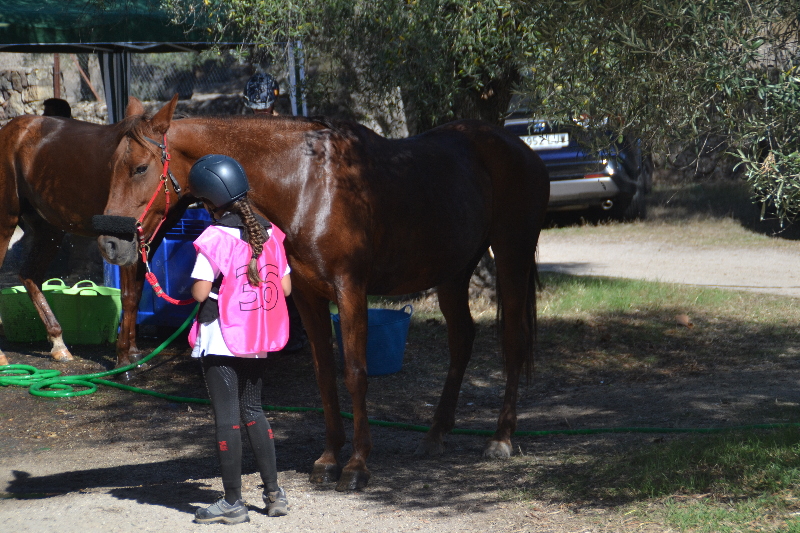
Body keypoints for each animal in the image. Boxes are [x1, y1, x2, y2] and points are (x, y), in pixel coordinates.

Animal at [0, 112, 191, 370]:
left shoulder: (146, 239)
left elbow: (136, 294)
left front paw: (134, 355)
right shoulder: (127, 241)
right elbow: (129, 296)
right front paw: (124, 361)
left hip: (48, 229)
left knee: (29, 275)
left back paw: (59, 343)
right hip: (6, 220)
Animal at [97, 96, 552, 490]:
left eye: (140, 168)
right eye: (112, 167)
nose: (110, 244)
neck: (307, 184)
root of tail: (522, 149)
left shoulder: (350, 290)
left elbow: (355, 373)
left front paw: (357, 465)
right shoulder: (308, 296)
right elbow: (323, 376)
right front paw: (330, 459)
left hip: (511, 254)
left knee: (512, 341)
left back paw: (501, 438)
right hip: (453, 273)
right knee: (462, 341)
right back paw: (436, 433)